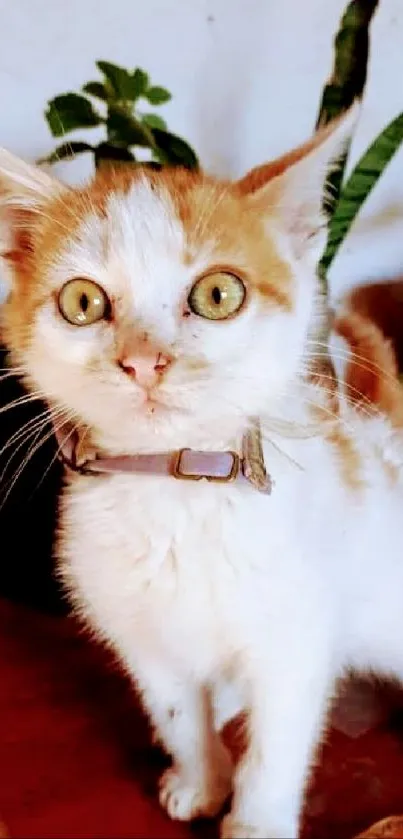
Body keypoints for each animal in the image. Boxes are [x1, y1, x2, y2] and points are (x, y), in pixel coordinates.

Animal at [0, 111, 403, 839]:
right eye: (82, 301)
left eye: (218, 294)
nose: (143, 362)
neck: (176, 493)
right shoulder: (141, 635)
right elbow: (175, 712)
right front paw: (199, 780)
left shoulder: (294, 638)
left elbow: (276, 746)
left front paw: (254, 821)